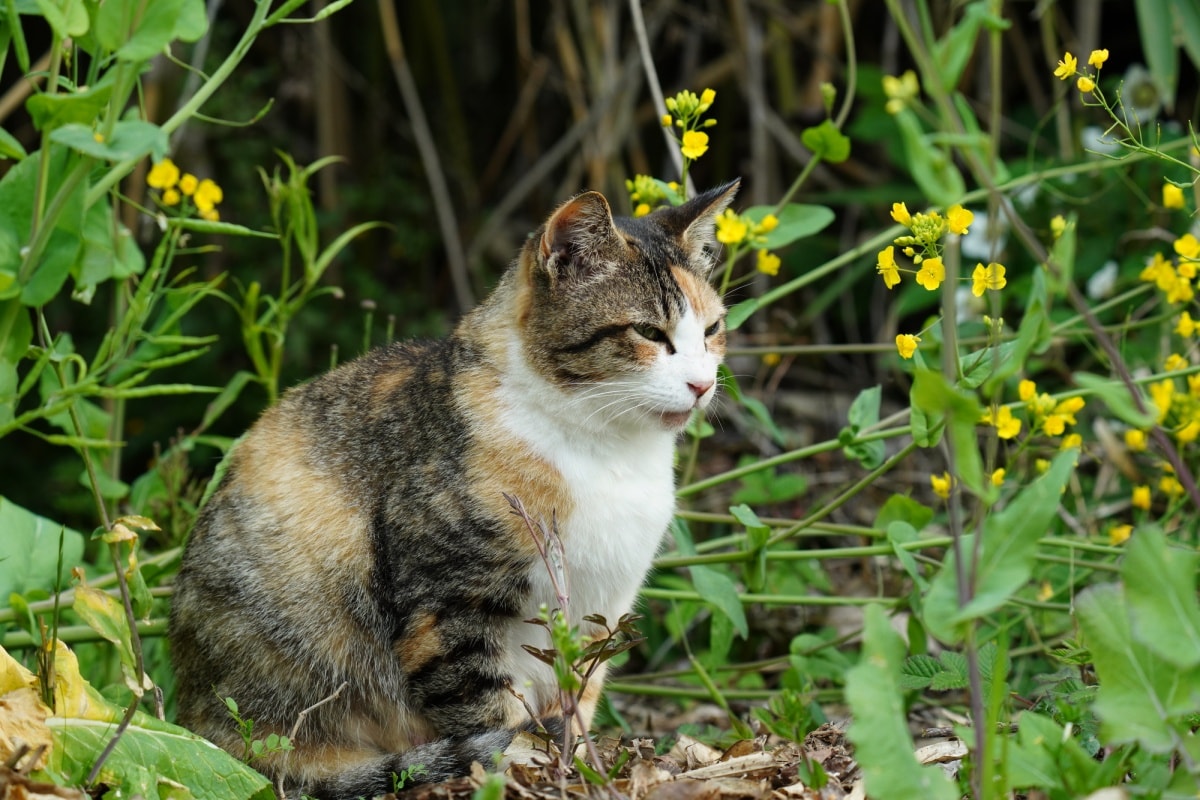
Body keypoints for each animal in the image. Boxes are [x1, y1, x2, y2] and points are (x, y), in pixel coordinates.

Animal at [165, 179, 734, 800]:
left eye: (711, 331)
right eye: (649, 332)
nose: (702, 384)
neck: (607, 452)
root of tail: (195, 710)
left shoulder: (599, 608)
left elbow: (579, 692)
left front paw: (580, 761)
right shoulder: (447, 602)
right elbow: (487, 711)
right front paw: (525, 767)